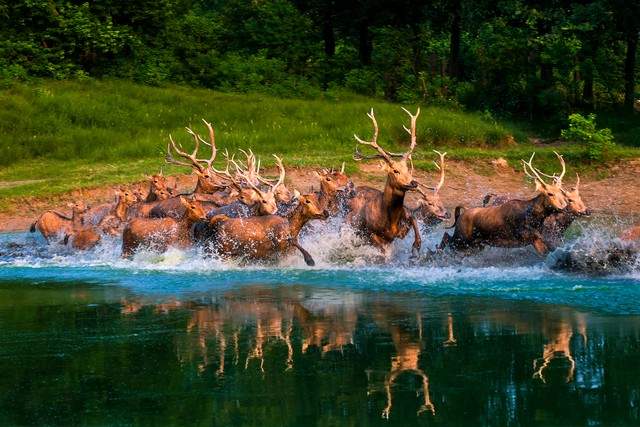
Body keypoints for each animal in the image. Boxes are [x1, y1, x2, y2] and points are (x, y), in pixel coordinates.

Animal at [344, 109, 424, 258]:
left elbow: (413, 218)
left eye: (408, 169)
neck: (390, 221)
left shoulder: (401, 227)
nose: (413, 182)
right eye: (395, 170)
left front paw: (416, 245)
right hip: (347, 224)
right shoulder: (370, 233)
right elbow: (382, 252)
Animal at [440, 155, 568, 258]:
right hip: (461, 238)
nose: (563, 207)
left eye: (561, 192)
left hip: (476, 244)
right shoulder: (528, 237)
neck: (535, 219)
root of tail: (461, 214)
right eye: (550, 193)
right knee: (446, 237)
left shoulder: (537, 236)